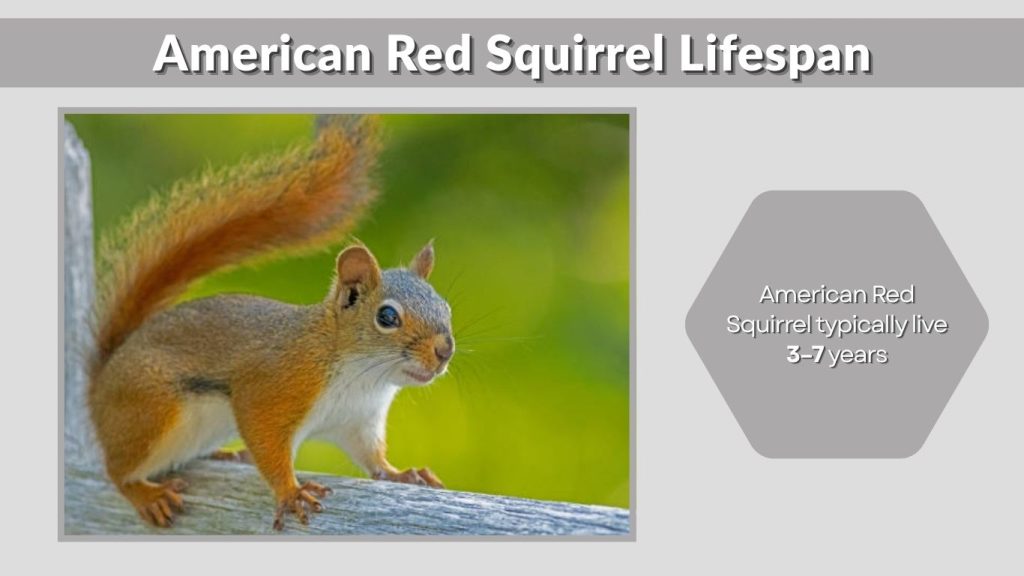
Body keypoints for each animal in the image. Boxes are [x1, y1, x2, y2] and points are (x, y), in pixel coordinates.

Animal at [86, 115, 454, 531]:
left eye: (445, 306)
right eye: (387, 317)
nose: (445, 350)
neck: (360, 374)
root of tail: (100, 386)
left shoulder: (359, 421)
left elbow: (372, 459)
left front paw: (402, 474)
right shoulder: (270, 387)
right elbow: (267, 444)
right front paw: (291, 493)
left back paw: (224, 456)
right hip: (151, 411)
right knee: (118, 470)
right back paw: (146, 494)